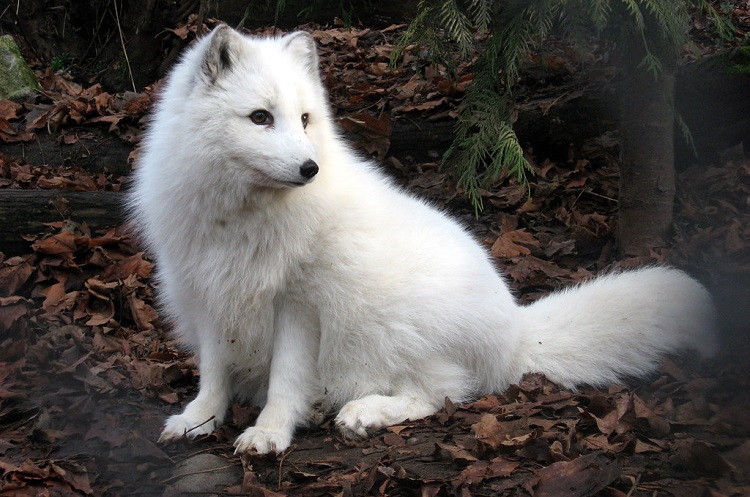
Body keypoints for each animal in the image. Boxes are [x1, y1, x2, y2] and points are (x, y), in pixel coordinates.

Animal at [129, 25, 717, 455]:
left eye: (305, 119)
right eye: (260, 118)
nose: (310, 168)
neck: (245, 218)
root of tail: (516, 334)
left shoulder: (298, 304)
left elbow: (285, 378)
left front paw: (271, 431)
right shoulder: (209, 294)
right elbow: (213, 373)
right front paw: (200, 419)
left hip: (393, 325)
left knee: (445, 393)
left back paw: (364, 412)